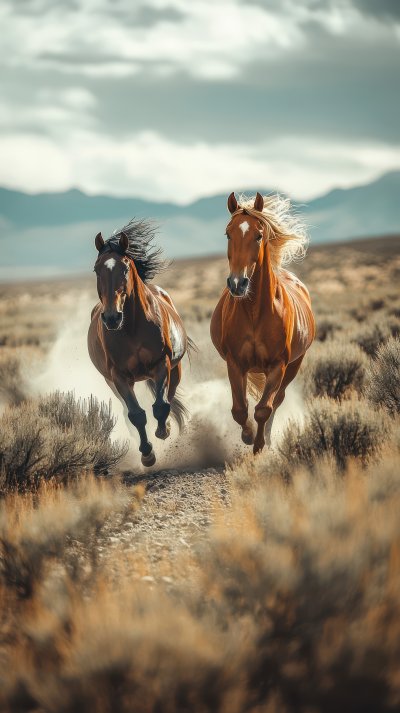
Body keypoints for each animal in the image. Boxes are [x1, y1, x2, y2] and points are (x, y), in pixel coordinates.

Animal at [88, 219, 190, 468]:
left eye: (125, 268)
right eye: (96, 269)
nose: (112, 317)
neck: (132, 328)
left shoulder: (161, 364)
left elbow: (161, 406)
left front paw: (163, 431)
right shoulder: (119, 377)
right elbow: (135, 414)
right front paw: (147, 453)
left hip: (176, 369)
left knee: (169, 397)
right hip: (112, 384)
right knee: (128, 412)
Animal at [210, 191, 315, 455]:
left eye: (258, 235)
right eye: (228, 233)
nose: (237, 284)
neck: (255, 312)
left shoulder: (278, 365)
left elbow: (263, 409)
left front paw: (259, 445)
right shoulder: (235, 363)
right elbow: (240, 409)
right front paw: (247, 436)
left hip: (294, 365)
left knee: (277, 401)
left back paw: (267, 438)